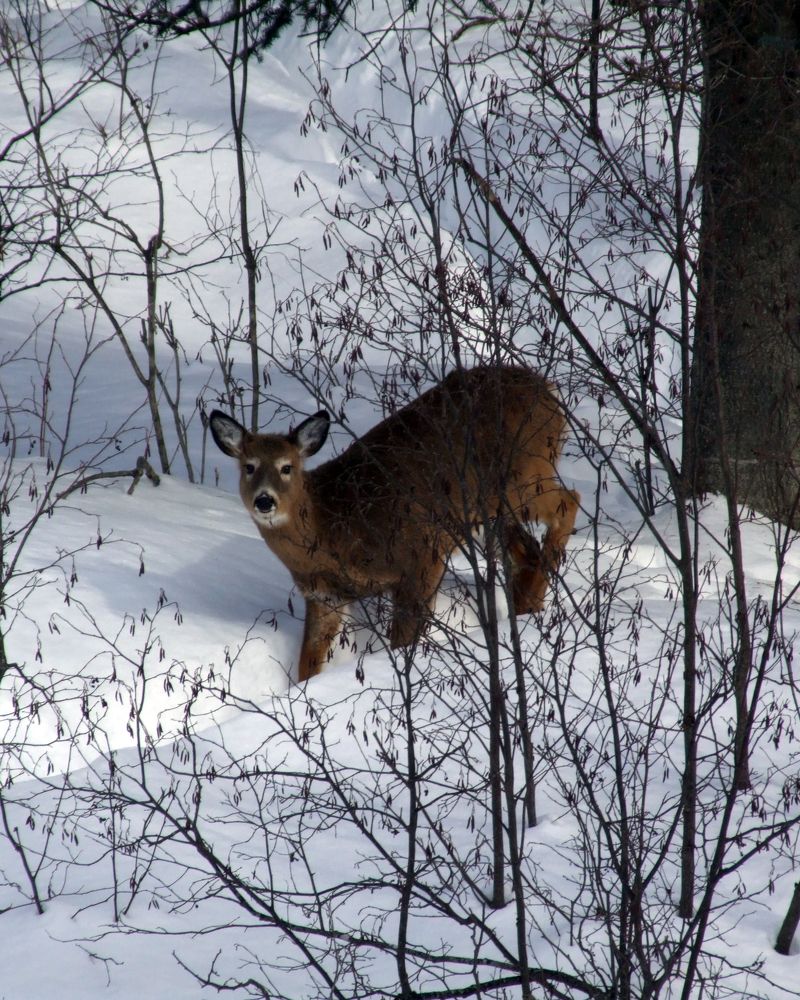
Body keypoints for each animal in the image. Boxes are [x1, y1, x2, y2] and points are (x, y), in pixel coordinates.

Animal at [209, 365, 579, 682]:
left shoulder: (421, 556)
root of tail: (548, 388)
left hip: (522, 478)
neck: (332, 528)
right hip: (495, 507)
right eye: (249, 466)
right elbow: (308, 662)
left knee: (569, 501)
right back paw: (528, 609)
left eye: (287, 467)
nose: (265, 500)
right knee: (526, 551)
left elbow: (403, 641)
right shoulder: (325, 595)